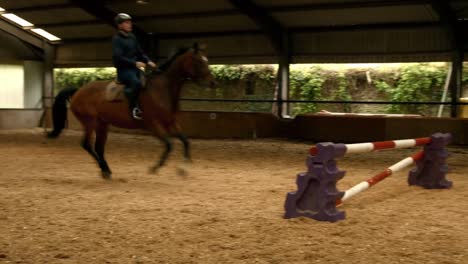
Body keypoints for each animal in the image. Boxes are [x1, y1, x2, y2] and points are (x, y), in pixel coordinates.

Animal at [46, 43, 215, 179]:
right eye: (198, 61)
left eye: (206, 60)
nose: (213, 83)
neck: (161, 89)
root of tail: (78, 91)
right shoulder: (154, 125)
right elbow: (169, 145)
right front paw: (155, 168)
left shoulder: (171, 122)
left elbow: (185, 141)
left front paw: (183, 168)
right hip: (90, 122)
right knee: (87, 145)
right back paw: (104, 169)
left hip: (102, 125)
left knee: (99, 147)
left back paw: (106, 170)